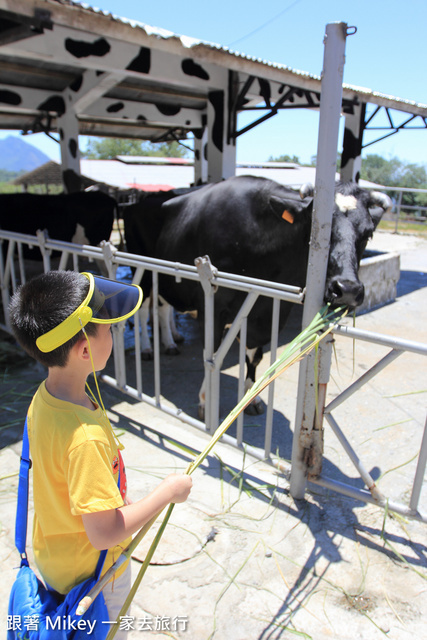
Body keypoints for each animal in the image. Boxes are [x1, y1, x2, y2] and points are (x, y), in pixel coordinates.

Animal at [123, 175, 392, 416]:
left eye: (368, 234)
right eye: (315, 231)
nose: (347, 289)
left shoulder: (267, 310)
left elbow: (254, 358)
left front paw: (251, 399)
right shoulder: (211, 305)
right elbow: (211, 354)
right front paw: (206, 402)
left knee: (162, 307)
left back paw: (170, 341)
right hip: (141, 270)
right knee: (143, 309)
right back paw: (146, 348)